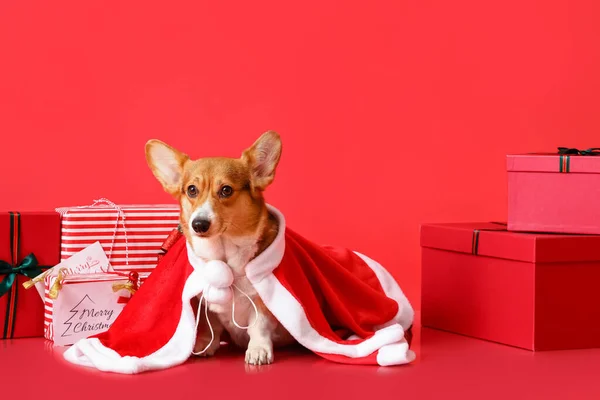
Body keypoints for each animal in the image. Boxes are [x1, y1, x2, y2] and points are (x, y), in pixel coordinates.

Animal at [145, 132, 296, 366]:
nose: (198, 224)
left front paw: (258, 349)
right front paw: (205, 345)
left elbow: (258, 326)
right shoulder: (203, 304)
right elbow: (210, 328)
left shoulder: (262, 301)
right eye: (192, 190)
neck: (225, 257)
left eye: (226, 190)